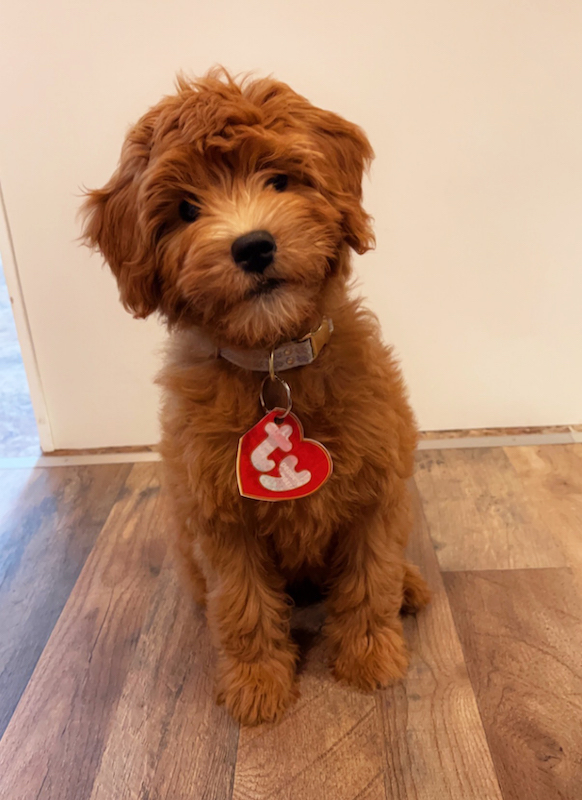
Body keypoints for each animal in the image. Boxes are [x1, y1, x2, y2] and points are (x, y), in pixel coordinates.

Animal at [82, 72, 432, 728]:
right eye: (185, 210)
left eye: (279, 178)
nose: (252, 247)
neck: (273, 363)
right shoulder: (222, 520)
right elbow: (242, 606)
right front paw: (258, 684)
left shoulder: (376, 493)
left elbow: (370, 580)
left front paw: (370, 659)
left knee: (391, 570)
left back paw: (411, 585)